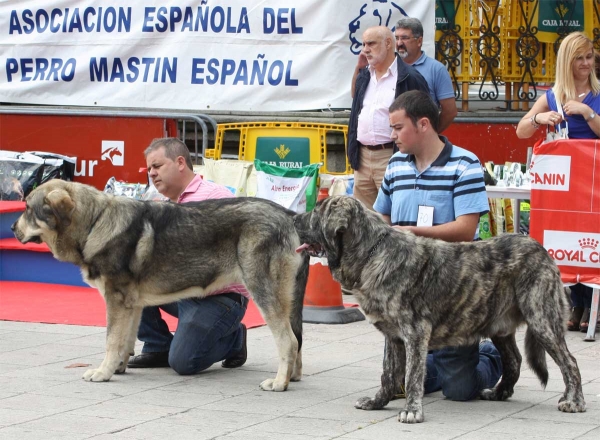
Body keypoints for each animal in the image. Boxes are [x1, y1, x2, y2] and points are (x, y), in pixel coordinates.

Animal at [12, 180, 310, 392]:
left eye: (27, 209)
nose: (13, 228)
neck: (95, 222)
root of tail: (290, 215)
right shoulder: (131, 304)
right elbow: (125, 341)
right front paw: (117, 368)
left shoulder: (115, 300)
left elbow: (110, 340)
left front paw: (102, 373)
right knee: (297, 340)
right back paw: (292, 377)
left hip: (264, 293)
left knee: (288, 341)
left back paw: (279, 383)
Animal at [296, 196, 584, 422]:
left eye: (317, 211)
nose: (295, 218)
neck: (371, 254)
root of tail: (542, 250)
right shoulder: (393, 337)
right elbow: (388, 373)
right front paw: (378, 402)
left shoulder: (415, 332)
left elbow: (412, 375)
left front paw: (412, 411)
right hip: (500, 326)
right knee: (513, 360)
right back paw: (500, 392)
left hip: (541, 320)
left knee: (569, 361)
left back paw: (574, 401)